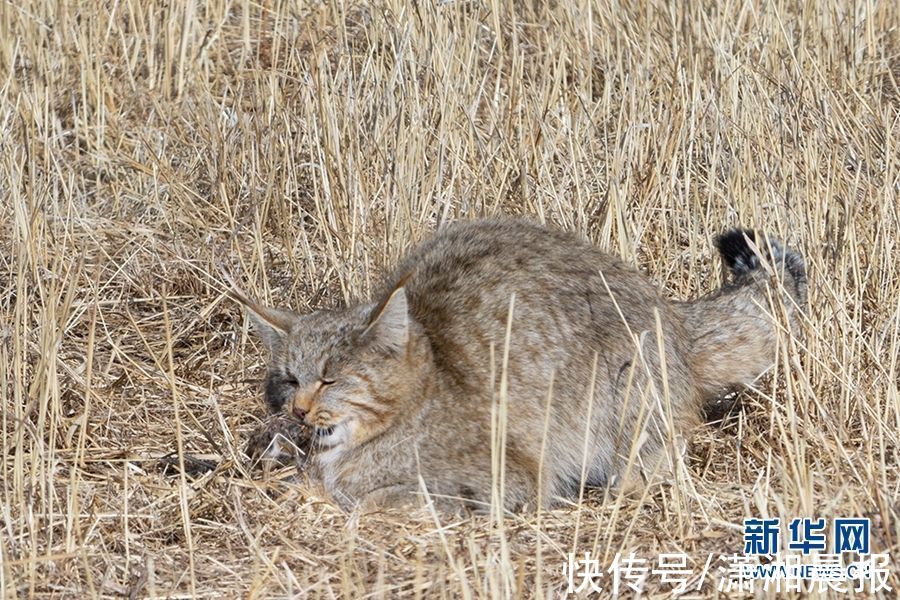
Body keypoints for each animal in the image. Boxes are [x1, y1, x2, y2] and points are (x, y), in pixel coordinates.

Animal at [229, 220, 804, 510]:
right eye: (290, 380)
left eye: (331, 379)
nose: (299, 412)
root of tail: (671, 311)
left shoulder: (509, 478)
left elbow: (386, 497)